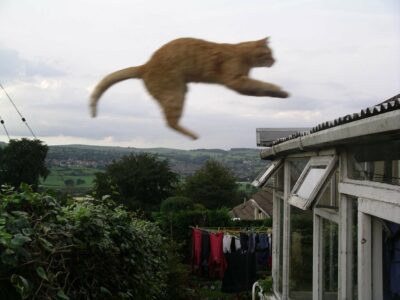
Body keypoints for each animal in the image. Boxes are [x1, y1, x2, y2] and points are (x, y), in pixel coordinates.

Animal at [90, 37, 290, 139]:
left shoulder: (242, 82)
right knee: (170, 122)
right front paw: (281, 90)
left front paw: (280, 93)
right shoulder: (236, 81)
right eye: (270, 53)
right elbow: (262, 86)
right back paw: (193, 135)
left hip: (180, 91)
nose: (275, 61)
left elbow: (260, 88)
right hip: (175, 94)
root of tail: (145, 66)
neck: (242, 54)